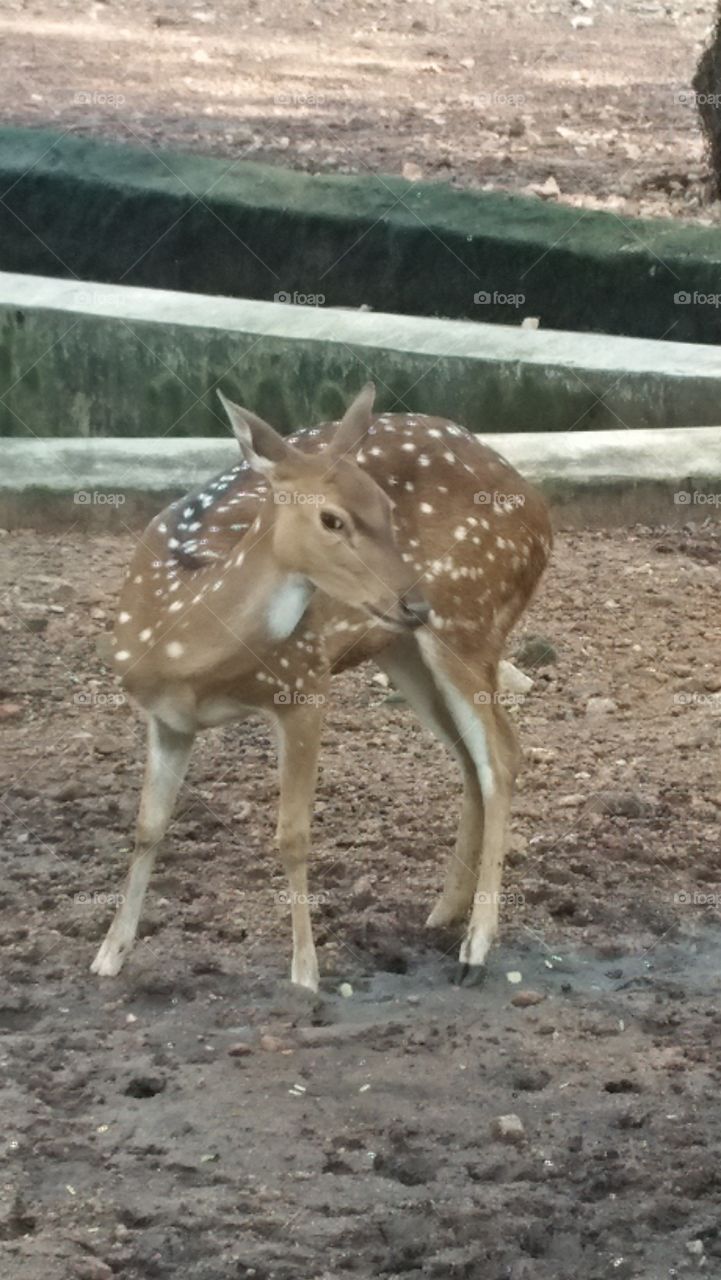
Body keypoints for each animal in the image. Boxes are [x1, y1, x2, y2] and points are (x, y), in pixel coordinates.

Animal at [91, 383, 552, 990]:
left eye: (387, 507)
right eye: (332, 520)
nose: (414, 601)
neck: (185, 655)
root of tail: (540, 510)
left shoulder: (303, 680)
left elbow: (293, 834)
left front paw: (305, 973)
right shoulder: (165, 718)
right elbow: (148, 824)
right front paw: (109, 954)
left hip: (470, 617)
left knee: (501, 753)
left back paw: (475, 949)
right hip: (402, 649)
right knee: (471, 760)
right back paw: (442, 914)